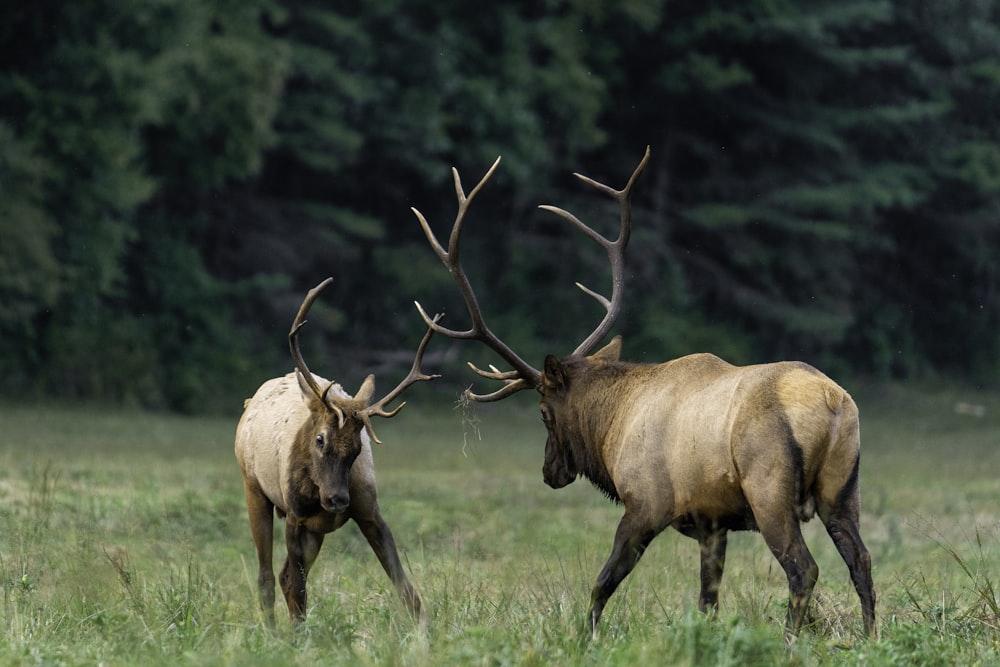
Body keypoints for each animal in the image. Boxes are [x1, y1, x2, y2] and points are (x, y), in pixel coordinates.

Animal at [236, 278, 440, 628]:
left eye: (358, 448)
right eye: (320, 439)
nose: (337, 499)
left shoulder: (369, 510)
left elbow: (404, 585)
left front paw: (425, 630)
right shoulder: (295, 515)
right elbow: (298, 590)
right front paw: (298, 635)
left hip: (316, 529)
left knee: (283, 575)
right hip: (255, 489)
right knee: (267, 575)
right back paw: (273, 631)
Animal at [410, 149, 872, 640]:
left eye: (543, 412)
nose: (549, 472)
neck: (613, 426)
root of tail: (834, 404)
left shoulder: (646, 505)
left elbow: (603, 582)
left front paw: (583, 638)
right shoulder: (712, 523)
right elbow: (708, 599)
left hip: (769, 488)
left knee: (803, 569)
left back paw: (789, 641)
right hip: (843, 489)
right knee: (860, 560)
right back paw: (871, 636)